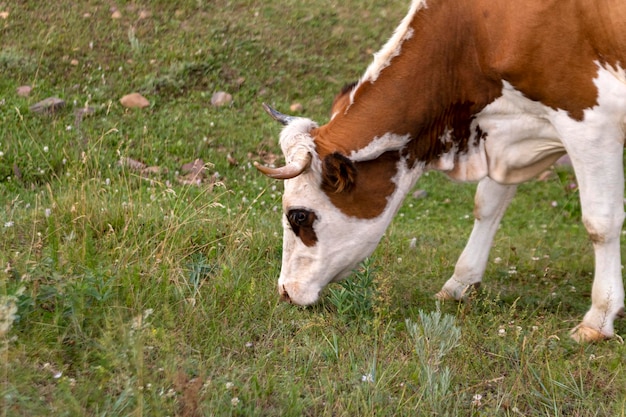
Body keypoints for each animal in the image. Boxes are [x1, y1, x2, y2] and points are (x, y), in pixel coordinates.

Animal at [254, 0, 624, 342]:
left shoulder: (589, 120)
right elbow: (487, 205)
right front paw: (460, 282)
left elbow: (600, 223)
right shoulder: (511, 131)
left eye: (299, 215)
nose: (285, 290)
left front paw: (599, 318)